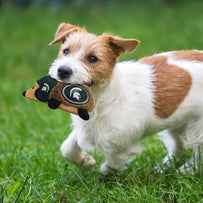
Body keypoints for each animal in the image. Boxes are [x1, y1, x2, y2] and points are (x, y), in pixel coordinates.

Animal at [48, 22, 203, 174]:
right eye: (66, 51)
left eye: (93, 58)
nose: (63, 70)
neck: (100, 99)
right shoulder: (85, 129)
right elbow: (67, 148)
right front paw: (87, 162)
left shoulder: (119, 145)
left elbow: (111, 166)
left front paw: (104, 176)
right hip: (176, 121)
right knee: (179, 145)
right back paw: (162, 168)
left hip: (198, 126)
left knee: (198, 151)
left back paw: (188, 170)